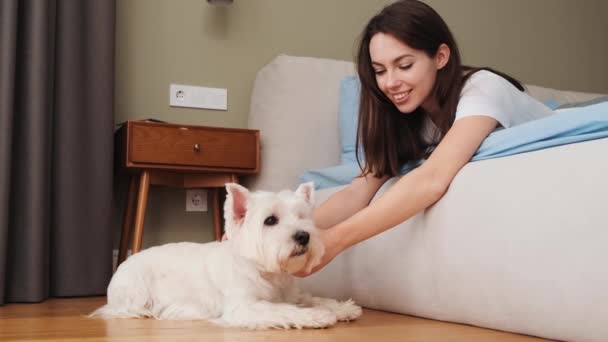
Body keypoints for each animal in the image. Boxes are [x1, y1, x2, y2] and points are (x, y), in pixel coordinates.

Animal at [91, 182, 360, 328]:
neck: (264, 271)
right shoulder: (244, 307)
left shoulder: (291, 293)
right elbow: (285, 310)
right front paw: (318, 315)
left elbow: (310, 298)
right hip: (135, 291)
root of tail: (125, 262)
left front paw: (343, 308)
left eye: (302, 217)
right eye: (270, 220)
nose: (303, 236)